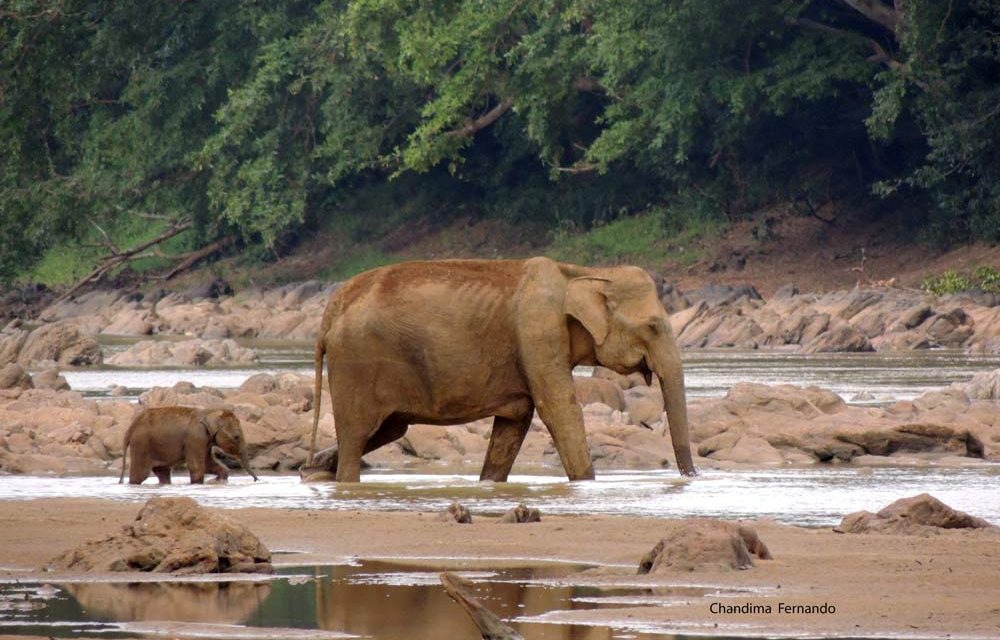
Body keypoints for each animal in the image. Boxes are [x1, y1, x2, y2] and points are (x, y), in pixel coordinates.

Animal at [118, 408, 258, 482]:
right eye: (236, 437)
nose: (256, 479)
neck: (210, 412)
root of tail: (131, 428)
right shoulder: (195, 438)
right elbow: (198, 468)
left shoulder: (205, 441)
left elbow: (210, 464)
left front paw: (219, 479)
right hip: (141, 445)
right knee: (140, 475)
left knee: (162, 472)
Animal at [306, 258, 696, 482]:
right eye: (653, 327)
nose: (691, 478)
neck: (585, 272)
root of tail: (330, 311)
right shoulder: (538, 333)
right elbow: (559, 412)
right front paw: (586, 484)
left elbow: (515, 422)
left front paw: (489, 484)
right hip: (356, 364)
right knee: (358, 435)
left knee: (385, 431)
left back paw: (315, 470)